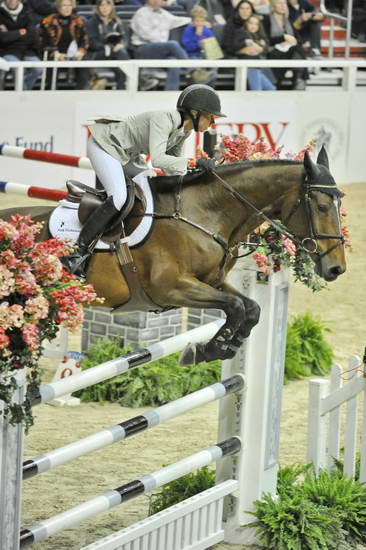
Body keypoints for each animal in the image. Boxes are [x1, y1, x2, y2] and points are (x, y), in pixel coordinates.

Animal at [0, 148, 346, 366]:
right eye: (321, 206)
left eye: (338, 205)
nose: (337, 268)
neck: (206, 213)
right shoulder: (171, 288)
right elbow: (236, 307)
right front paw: (210, 349)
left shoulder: (211, 282)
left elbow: (250, 308)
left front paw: (221, 347)